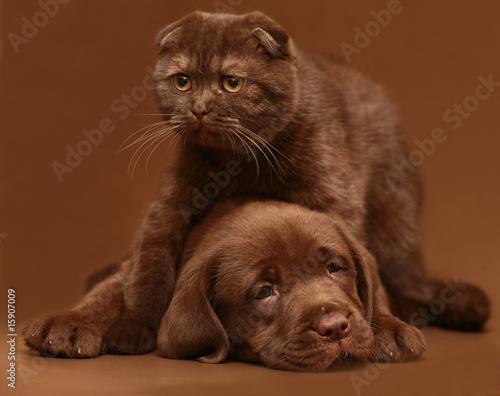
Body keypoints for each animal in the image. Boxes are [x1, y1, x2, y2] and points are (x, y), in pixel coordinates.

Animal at [22, 10, 488, 360]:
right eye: (182, 81)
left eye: (232, 83)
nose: (199, 109)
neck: (242, 164)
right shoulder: (173, 204)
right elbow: (140, 270)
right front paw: (97, 324)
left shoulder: (333, 200)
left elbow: (360, 272)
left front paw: (384, 328)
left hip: (394, 216)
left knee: (405, 280)